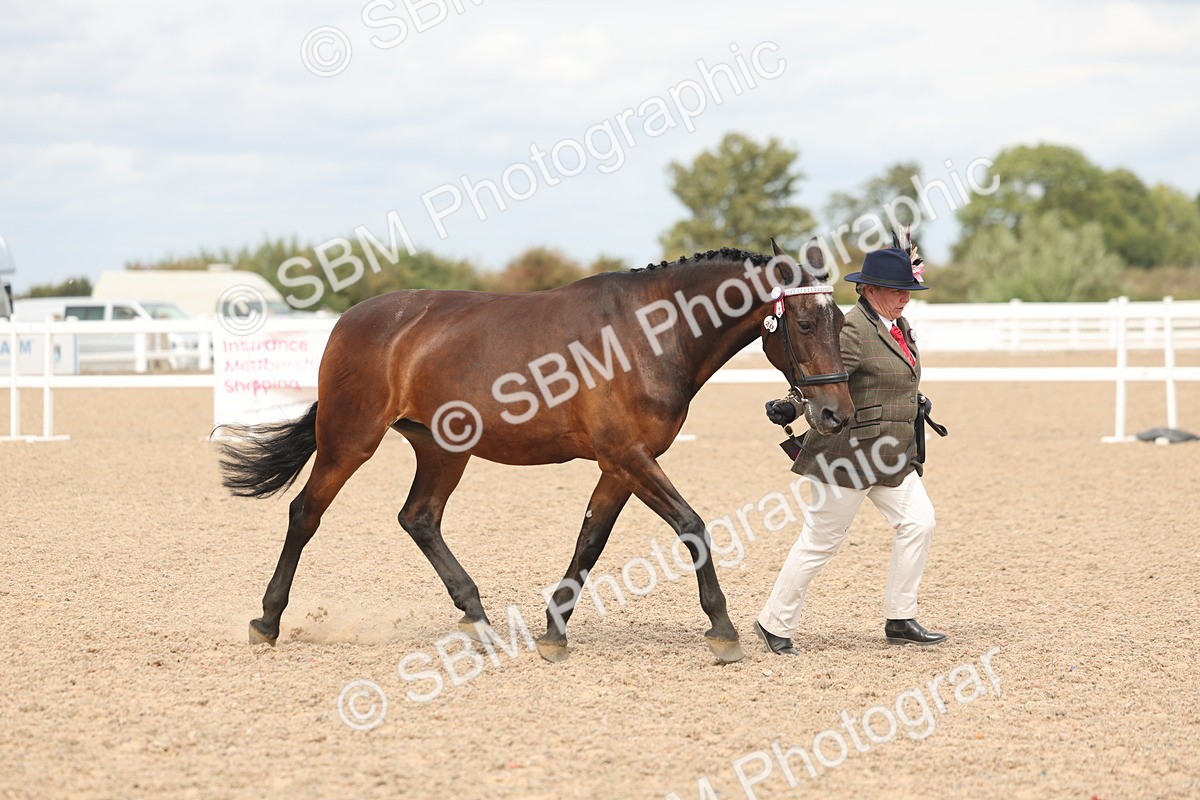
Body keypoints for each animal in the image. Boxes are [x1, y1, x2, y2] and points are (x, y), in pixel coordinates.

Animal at [218, 239, 853, 663]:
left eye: (841, 320)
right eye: (802, 322)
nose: (835, 414)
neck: (648, 335)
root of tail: (354, 318)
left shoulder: (621, 464)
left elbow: (591, 540)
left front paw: (553, 631)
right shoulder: (629, 457)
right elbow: (691, 525)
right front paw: (722, 629)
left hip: (443, 450)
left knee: (419, 518)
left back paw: (479, 621)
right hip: (351, 439)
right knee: (306, 513)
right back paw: (267, 622)